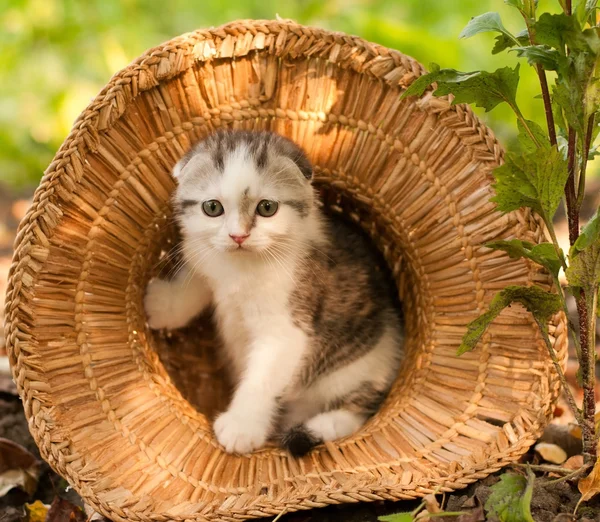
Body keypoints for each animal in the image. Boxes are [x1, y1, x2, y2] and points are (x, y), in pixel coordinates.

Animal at [146, 130, 404, 456]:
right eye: (212, 208)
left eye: (267, 208)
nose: (238, 236)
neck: (241, 268)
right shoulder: (207, 260)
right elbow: (195, 283)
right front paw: (162, 305)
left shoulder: (289, 325)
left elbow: (263, 377)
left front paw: (241, 427)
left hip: (363, 367)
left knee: (358, 409)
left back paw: (320, 425)